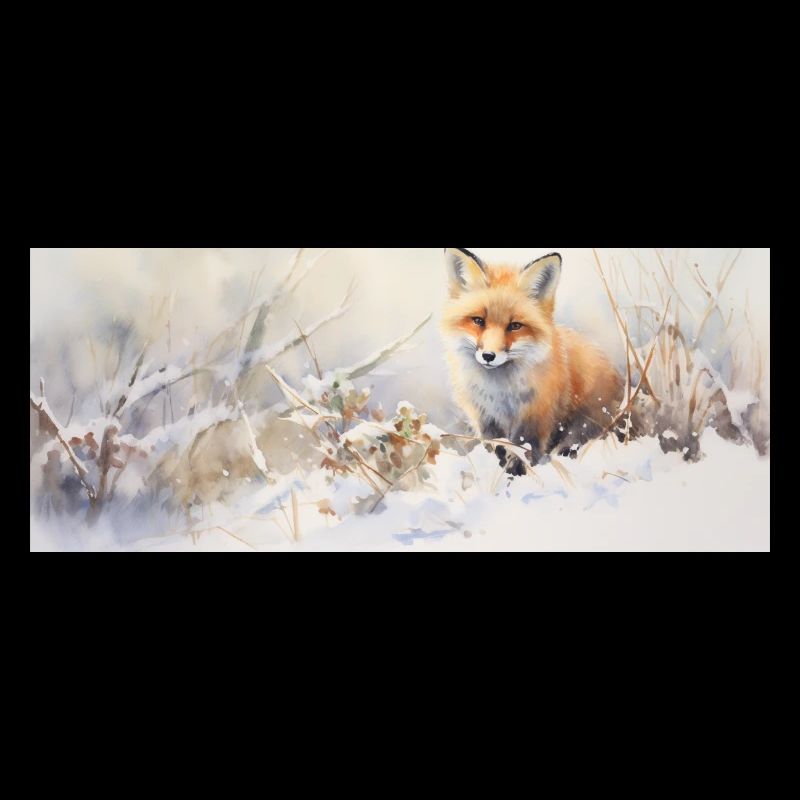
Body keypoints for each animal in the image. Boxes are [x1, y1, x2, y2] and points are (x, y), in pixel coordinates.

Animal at [442, 248, 624, 474]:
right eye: (478, 321)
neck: (500, 393)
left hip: (583, 427)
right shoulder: (486, 420)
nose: (489, 356)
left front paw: (517, 477)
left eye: (515, 326)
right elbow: (497, 450)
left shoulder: (535, 420)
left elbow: (524, 453)